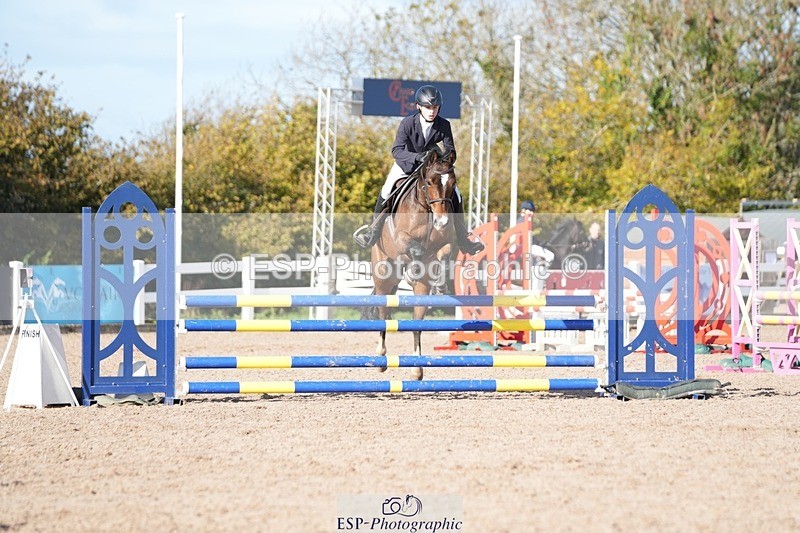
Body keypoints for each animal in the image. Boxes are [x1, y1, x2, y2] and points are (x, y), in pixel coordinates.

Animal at [370, 147, 457, 380]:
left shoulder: (447, 242)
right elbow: (415, 249)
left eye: (452, 183)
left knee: (417, 324)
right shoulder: (402, 238)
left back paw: (417, 369)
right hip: (382, 278)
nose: (442, 221)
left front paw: (441, 283)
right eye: (429, 182)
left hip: (420, 293)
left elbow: (444, 253)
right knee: (382, 312)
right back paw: (380, 357)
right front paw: (413, 270)